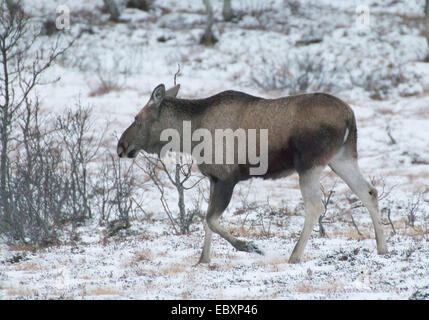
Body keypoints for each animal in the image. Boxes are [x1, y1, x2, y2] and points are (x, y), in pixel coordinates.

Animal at [117, 84, 388, 264]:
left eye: (137, 118)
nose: (121, 146)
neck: (189, 135)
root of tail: (350, 116)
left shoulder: (227, 177)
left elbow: (211, 219)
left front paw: (249, 246)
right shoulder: (214, 179)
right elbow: (207, 219)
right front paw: (203, 259)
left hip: (310, 164)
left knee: (314, 206)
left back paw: (294, 256)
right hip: (341, 157)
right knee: (369, 191)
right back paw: (382, 247)